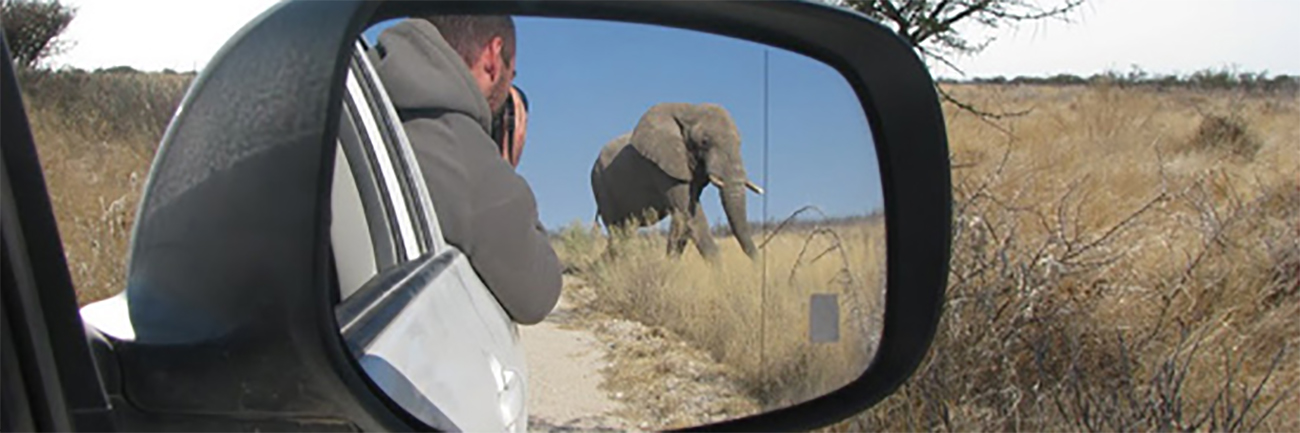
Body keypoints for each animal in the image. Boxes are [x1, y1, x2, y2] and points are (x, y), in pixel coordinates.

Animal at [590, 102, 759, 260]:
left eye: (740, 143)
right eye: (704, 142)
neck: (689, 111)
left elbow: (685, 219)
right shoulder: (661, 168)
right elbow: (690, 216)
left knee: (624, 235)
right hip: (601, 186)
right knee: (618, 234)